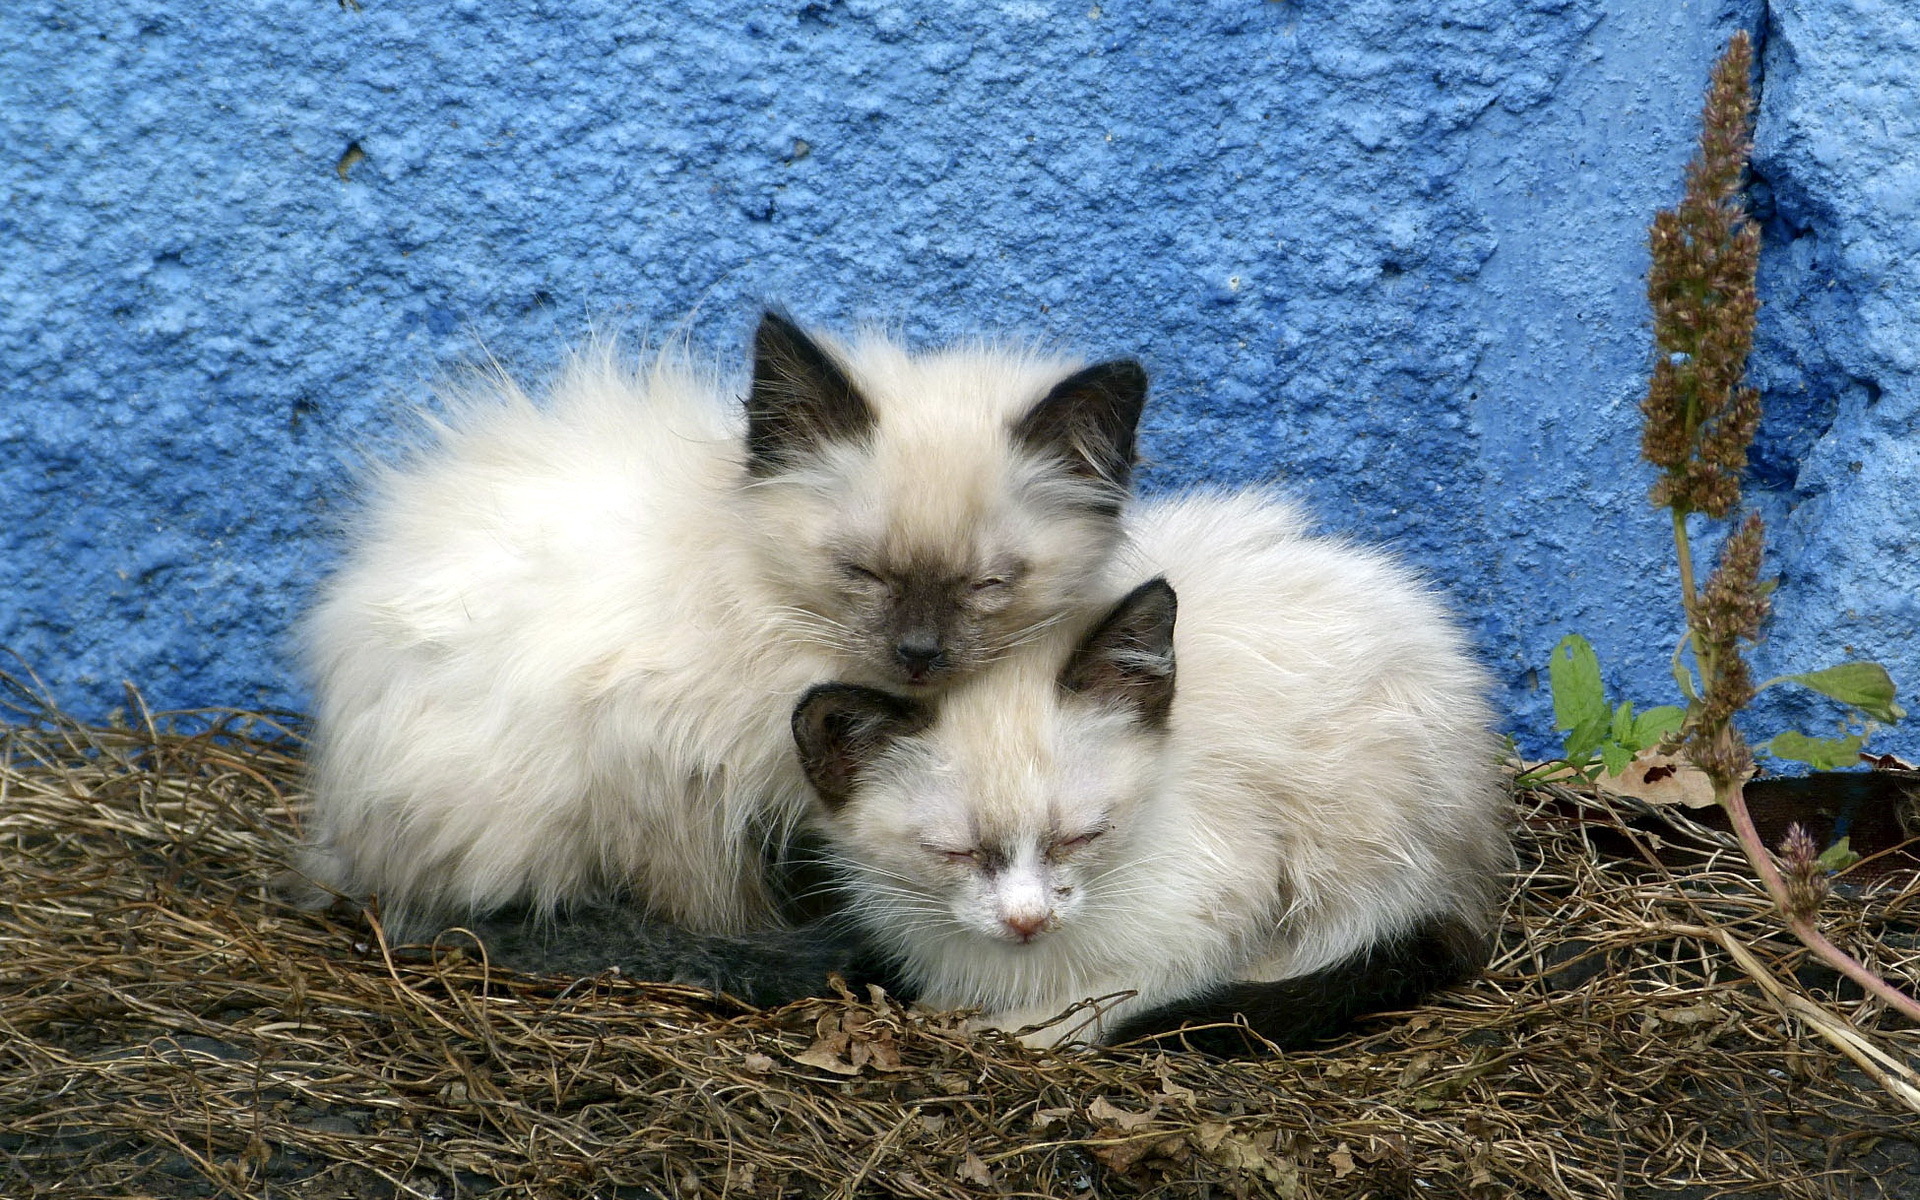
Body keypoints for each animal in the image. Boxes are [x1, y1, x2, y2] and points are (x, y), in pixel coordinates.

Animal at [295, 312, 1136, 940]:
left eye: (987, 584)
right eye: (860, 572)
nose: (919, 654)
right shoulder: (660, 769)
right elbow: (709, 904)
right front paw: (758, 939)